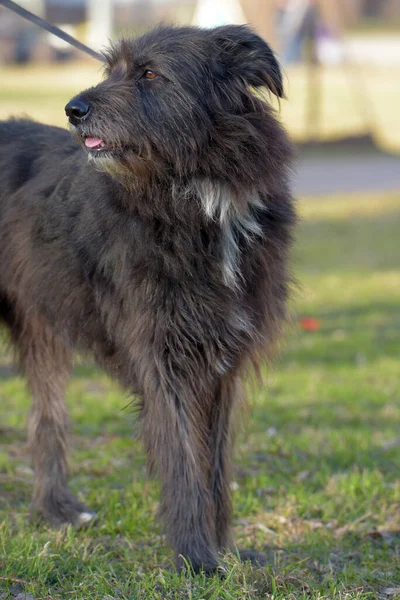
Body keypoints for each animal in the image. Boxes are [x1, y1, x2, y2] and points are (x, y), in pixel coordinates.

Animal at [0, 24, 294, 572]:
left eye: (150, 74)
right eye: (111, 69)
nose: (73, 109)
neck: (196, 197)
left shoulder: (223, 358)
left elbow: (213, 461)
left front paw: (222, 549)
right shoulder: (164, 357)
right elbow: (182, 459)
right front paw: (196, 559)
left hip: (39, 325)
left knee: (47, 415)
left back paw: (56, 509)